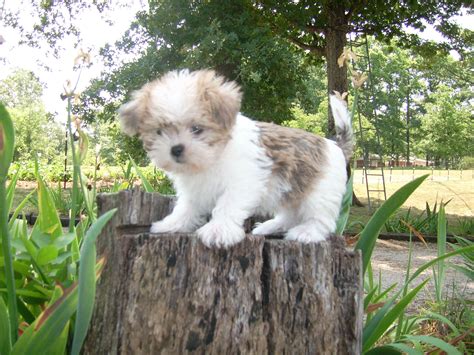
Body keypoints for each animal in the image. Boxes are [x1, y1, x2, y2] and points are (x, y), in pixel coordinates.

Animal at [120, 69, 354, 248]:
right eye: (159, 131)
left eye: (197, 129)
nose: (176, 149)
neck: (212, 158)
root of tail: (335, 145)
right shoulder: (194, 190)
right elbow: (186, 208)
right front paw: (173, 224)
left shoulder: (242, 182)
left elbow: (227, 205)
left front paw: (218, 229)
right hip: (290, 191)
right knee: (289, 215)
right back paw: (270, 226)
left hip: (319, 194)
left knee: (321, 218)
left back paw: (307, 232)